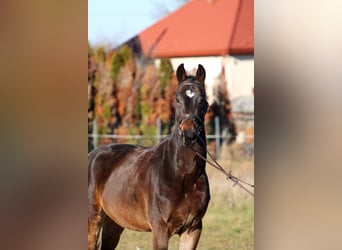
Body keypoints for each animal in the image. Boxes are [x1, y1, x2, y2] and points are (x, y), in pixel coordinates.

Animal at [87, 64, 211, 248]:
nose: (188, 134)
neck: (183, 174)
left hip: (114, 223)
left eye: (203, 101)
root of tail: (92, 155)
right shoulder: (160, 229)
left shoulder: (193, 229)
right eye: (177, 99)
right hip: (93, 219)